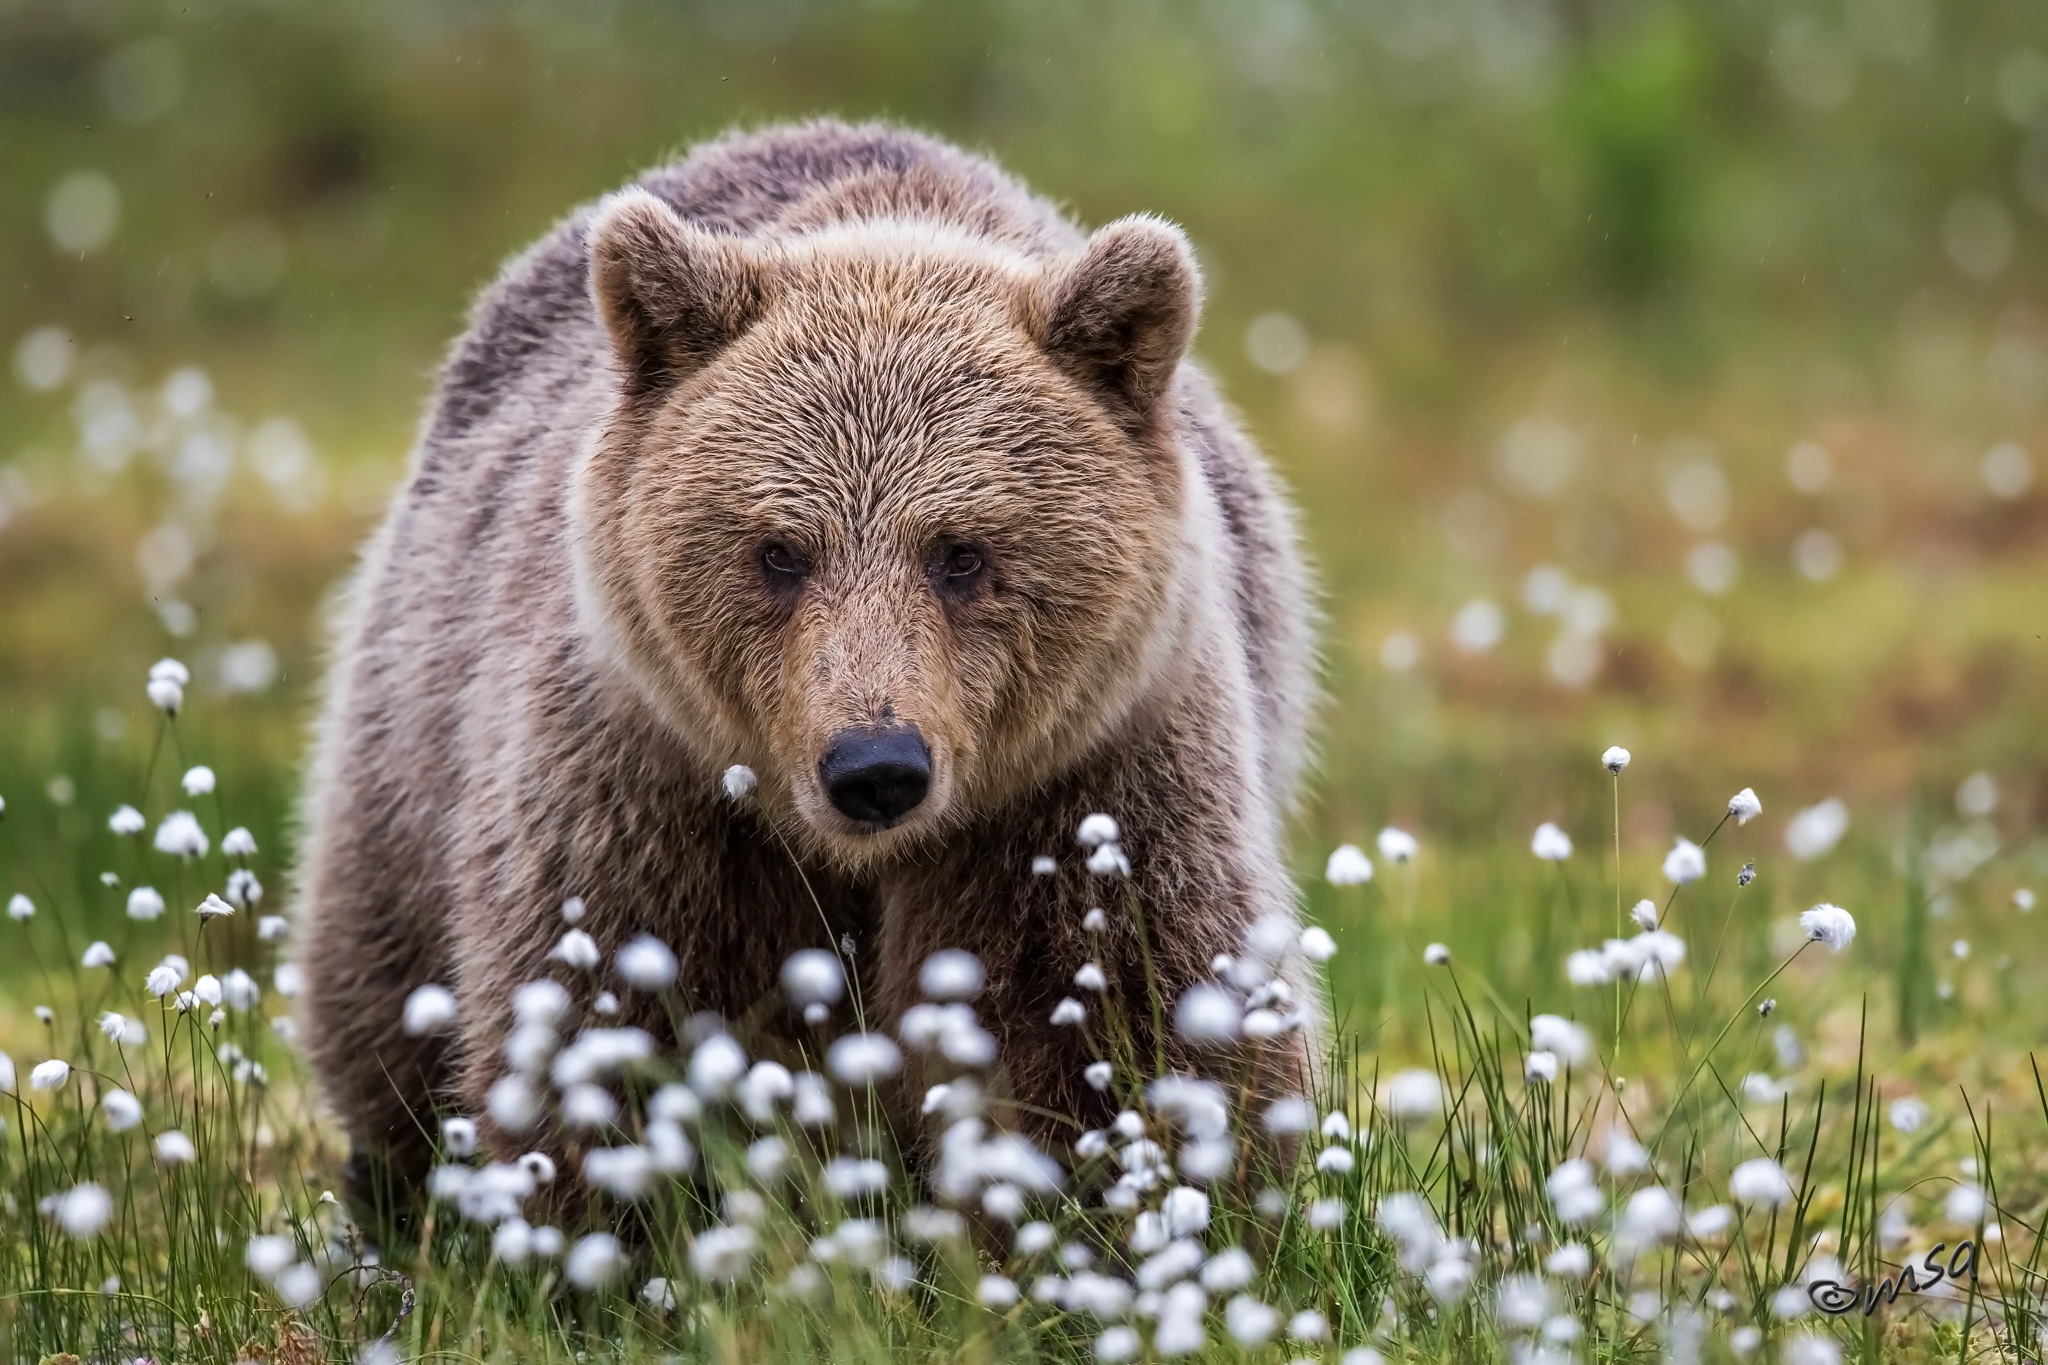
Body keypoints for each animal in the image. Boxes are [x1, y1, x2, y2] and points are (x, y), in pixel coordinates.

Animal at [296, 120, 1318, 1203]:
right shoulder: (650, 784)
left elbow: (1118, 1011)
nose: (875, 767)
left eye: (962, 552)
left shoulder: (1086, 782)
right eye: (779, 551)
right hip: (411, 728)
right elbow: (607, 1010)